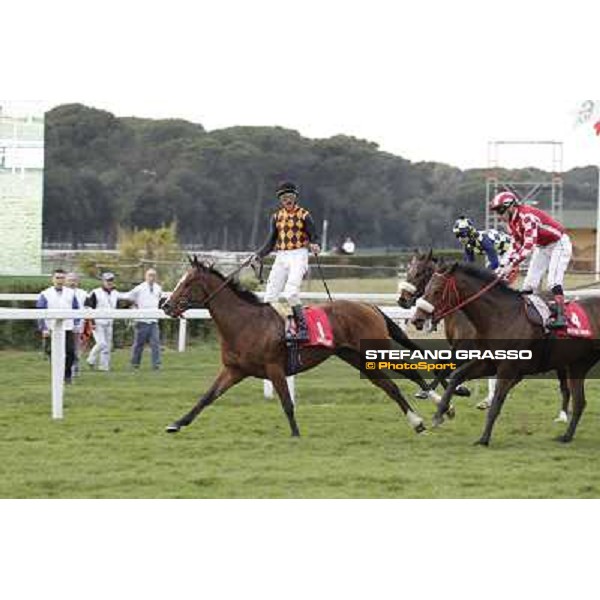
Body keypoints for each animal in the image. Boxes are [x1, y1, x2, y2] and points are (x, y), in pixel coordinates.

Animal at [162, 256, 438, 436]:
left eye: (187, 283)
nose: (165, 305)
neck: (245, 323)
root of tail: (369, 305)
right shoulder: (234, 370)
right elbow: (207, 397)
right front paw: (176, 423)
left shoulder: (274, 367)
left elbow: (286, 402)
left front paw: (295, 435)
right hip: (357, 357)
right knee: (390, 386)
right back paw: (418, 422)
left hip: (376, 350)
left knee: (409, 373)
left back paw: (436, 402)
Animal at [400, 251, 568, 420]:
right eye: (408, 271)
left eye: (419, 273)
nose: (402, 300)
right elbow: (440, 367)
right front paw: (454, 393)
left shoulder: (465, 348)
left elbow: (444, 369)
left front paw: (457, 392)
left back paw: (563, 415)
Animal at [410, 262, 600, 446]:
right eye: (427, 288)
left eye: (437, 290)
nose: (417, 319)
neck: (501, 316)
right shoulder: (487, 362)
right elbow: (456, 375)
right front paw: (441, 412)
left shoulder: (507, 368)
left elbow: (496, 402)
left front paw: (484, 438)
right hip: (577, 365)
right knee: (579, 402)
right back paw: (566, 436)